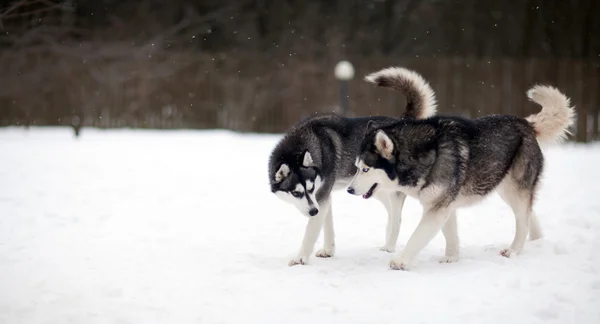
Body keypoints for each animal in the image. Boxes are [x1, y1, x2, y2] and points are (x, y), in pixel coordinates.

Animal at [270, 67, 438, 266]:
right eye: (296, 193)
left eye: (310, 189)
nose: (313, 211)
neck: (301, 144)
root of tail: (403, 121)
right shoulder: (324, 197)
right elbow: (327, 225)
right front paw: (328, 250)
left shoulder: (321, 197)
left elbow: (311, 233)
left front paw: (300, 258)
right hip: (373, 188)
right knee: (390, 213)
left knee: (397, 218)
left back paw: (389, 247)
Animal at [350, 67, 576, 270]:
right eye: (356, 167)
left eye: (366, 169)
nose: (350, 190)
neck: (426, 156)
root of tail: (527, 123)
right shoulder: (444, 205)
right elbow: (450, 235)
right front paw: (451, 258)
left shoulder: (437, 208)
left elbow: (417, 236)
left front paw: (401, 261)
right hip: (505, 187)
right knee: (529, 213)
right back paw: (536, 242)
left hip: (514, 189)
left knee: (523, 219)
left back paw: (514, 250)